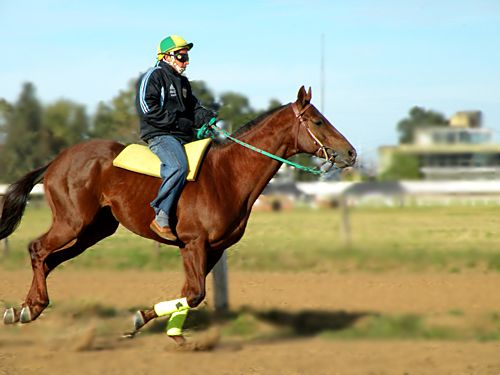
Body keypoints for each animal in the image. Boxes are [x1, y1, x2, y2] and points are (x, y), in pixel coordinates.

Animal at [0, 86, 356, 346]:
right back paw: (29, 309)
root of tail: (57, 161)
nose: (351, 153)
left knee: (50, 260)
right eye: (318, 121)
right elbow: (195, 293)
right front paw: (140, 319)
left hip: (93, 231)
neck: (228, 175)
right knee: (37, 249)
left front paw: (174, 333)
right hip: (72, 223)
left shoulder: (212, 250)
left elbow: (189, 293)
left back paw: (25, 310)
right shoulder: (194, 243)